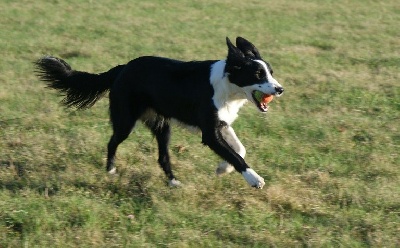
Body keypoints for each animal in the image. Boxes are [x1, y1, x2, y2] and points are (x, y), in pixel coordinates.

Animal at [35, 36, 284, 188]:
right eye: (258, 74)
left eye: (270, 73)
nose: (280, 89)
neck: (228, 86)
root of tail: (122, 68)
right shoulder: (209, 132)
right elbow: (234, 154)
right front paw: (254, 179)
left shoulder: (220, 124)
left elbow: (239, 149)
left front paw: (223, 169)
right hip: (126, 120)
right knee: (112, 142)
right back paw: (111, 170)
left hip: (162, 125)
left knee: (162, 156)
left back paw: (173, 182)